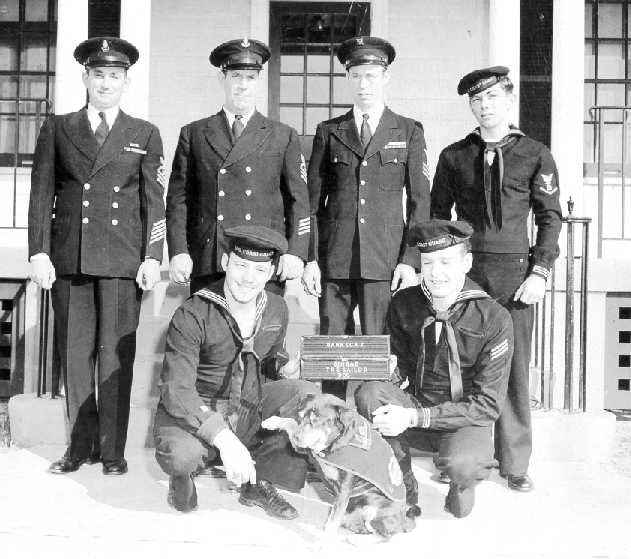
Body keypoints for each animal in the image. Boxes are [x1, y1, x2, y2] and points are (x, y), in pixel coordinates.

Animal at [262, 392, 414, 540]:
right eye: (300, 416)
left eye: (315, 421)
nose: (296, 437)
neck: (332, 445)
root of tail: (405, 520)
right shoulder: (303, 448)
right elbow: (291, 423)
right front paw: (273, 421)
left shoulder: (344, 490)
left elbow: (332, 523)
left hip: (373, 506)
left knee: (381, 533)